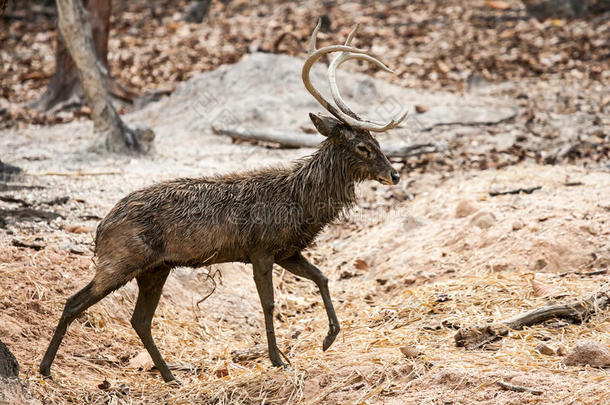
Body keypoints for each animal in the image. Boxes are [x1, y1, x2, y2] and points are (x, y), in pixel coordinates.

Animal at [40, 21, 406, 382]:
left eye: (375, 141)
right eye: (363, 147)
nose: (395, 174)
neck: (299, 202)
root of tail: (100, 228)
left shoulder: (287, 251)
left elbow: (322, 277)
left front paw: (329, 338)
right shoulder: (261, 249)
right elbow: (269, 304)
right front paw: (278, 359)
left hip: (156, 268)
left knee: (139, 319)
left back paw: (170, 376)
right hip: (121, 259)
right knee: (74, 301)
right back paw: (45, 369)